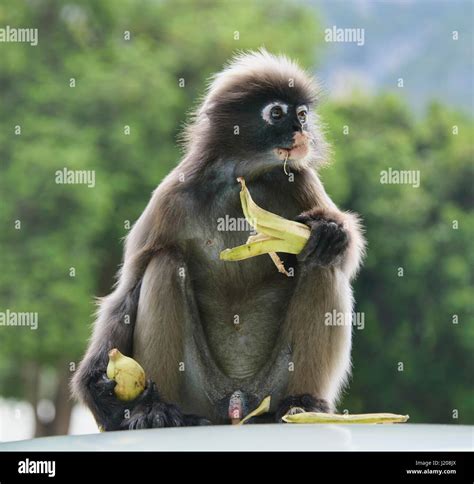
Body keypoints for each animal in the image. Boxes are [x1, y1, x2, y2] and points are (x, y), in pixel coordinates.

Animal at [71, 48, 366, 428]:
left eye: (302, 114)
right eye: (277, 113)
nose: (302, 130)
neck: (239, 178)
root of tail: (236, 403)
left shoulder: (299, 179)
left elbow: (346, 254)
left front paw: (333, 231)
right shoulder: (171, 196)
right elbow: (127, 292)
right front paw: (96, 389)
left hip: (272, 388)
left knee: (322, 263)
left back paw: (303, 402)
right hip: (197, 392)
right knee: (165, 263)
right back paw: (155, 409)